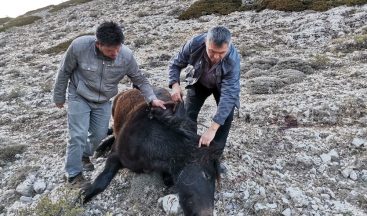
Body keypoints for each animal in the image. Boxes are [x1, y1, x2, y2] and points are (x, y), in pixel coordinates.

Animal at [82, 87, 223, 215]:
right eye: (207, 175)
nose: (206, 213)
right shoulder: (116, 155)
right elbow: (103, 179)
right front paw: (84, 196)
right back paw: (100, 148)